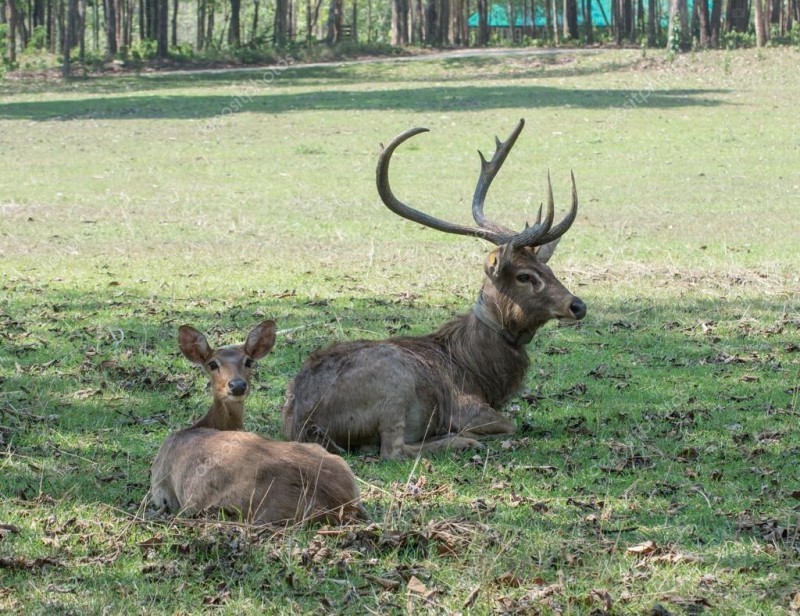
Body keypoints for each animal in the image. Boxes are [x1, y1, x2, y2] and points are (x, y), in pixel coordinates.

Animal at [282, 118, 588, 460]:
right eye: (524, 276)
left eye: (548, 269)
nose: (577, 305)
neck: (480, 373)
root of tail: (304, 424)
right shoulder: (465, 406)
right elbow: (509, 424)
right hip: (394, 384)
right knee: (392, 450)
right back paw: (460, 441)